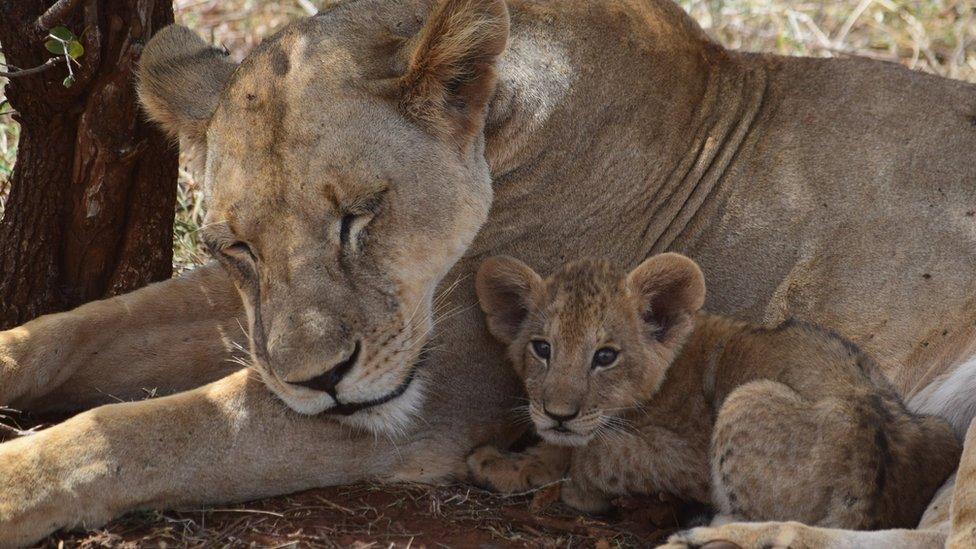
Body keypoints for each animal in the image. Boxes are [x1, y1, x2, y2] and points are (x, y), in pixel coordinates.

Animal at [468, 253, 959, 530]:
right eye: (542, 348)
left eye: (605, 356)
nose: (558, 413)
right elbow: (570, 447)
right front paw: (508, 463)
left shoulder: (691, 459)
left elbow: (598, 453)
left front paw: (573, 489)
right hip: (938, 427)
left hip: (747, 397)